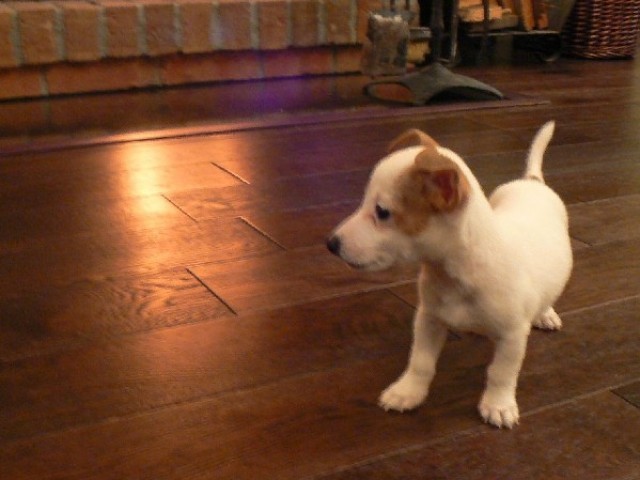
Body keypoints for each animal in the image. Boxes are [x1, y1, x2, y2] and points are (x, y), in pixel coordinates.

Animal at [327, 122, 572, 428]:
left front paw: (498, 404)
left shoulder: (513, 336)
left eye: (382, 212)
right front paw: (408, 391)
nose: (331, 244)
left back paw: (545, 314)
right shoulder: (428, 319)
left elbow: (501, 373)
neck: (456, 273)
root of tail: (532, 181)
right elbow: (420, 362)